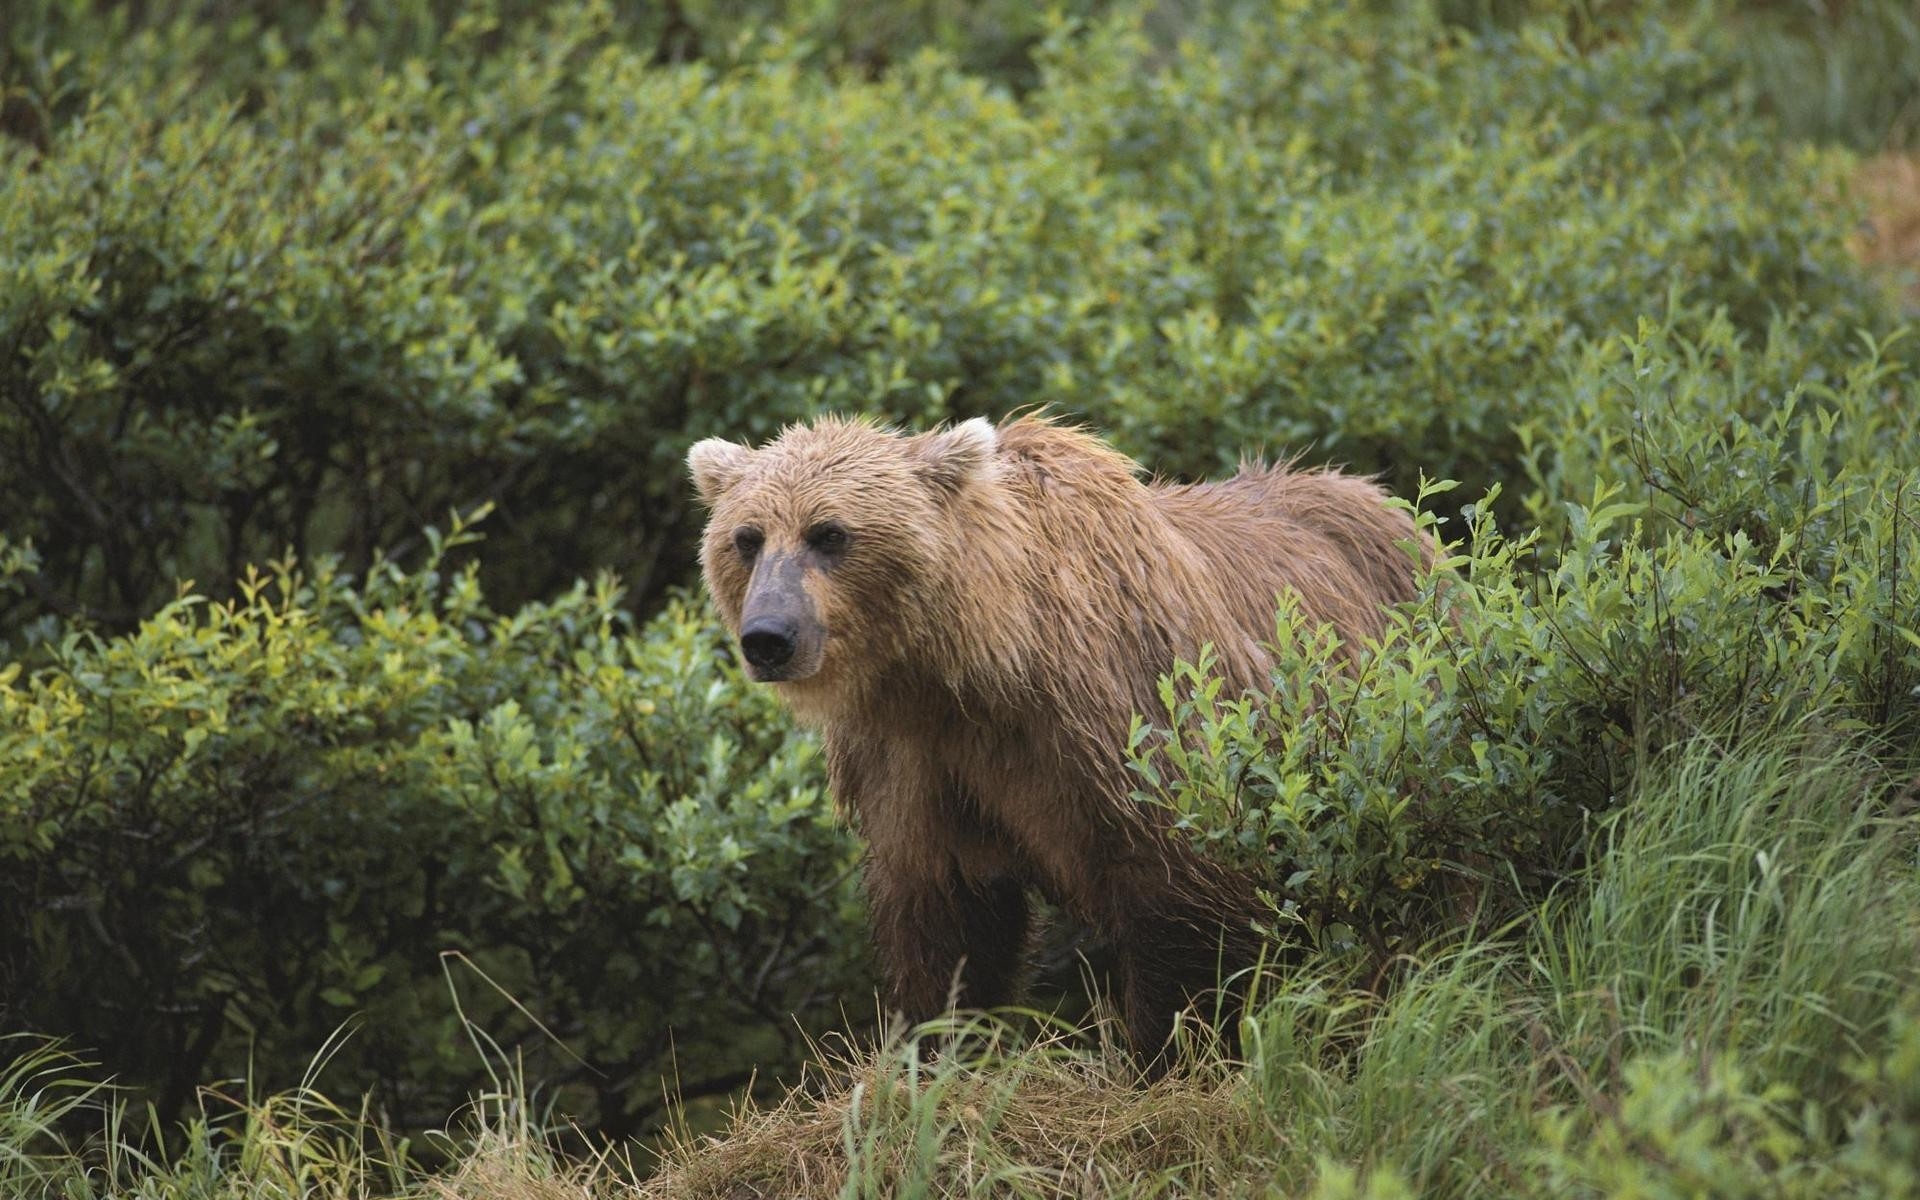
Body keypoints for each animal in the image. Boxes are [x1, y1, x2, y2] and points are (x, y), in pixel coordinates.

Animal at [691, 410, 1428, 1059]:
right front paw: (933, 1052)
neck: (982, 668)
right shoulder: (915, 762)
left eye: (829, 533)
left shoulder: (1126, 722)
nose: (768, 637)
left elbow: (1186, 898)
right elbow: (946, 922)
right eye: (747, 537)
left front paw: (1167, 1051)